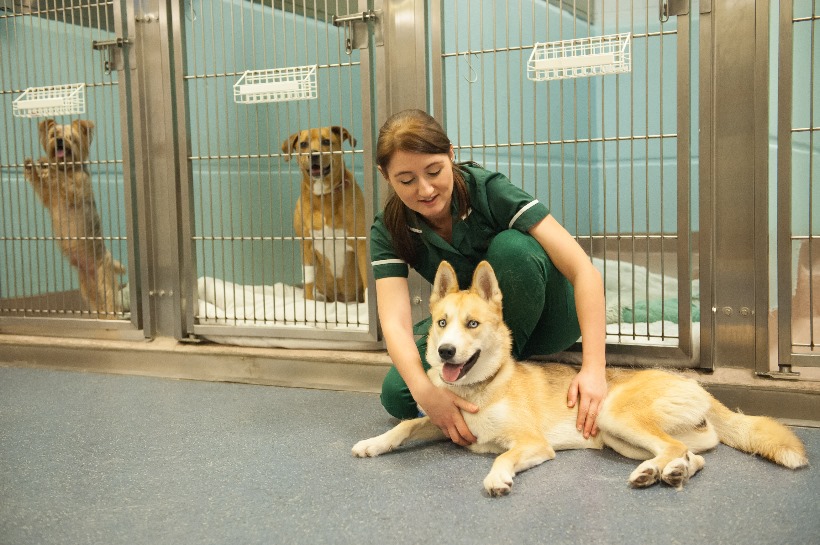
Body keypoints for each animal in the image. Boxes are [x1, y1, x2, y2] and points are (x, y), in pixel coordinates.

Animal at [23, 117, 126, 316]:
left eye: (71, 138)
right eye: (53, 135)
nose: (59, 142)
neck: (67, 168)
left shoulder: (75, 191)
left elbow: (64, 182)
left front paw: (47, 165)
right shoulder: (48, 197)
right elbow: (41, 183)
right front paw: (33, 167)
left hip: (104, 280)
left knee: (112, 302)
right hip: (87, 287)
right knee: (98, 304)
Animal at [352, 262, 808, 496]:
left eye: (473, 324)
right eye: (443, 323)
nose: (446, 351)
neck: (481, 389)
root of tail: (696, 385)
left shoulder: (532, 443)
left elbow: (501, 456)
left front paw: (497, 476)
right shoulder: (444, 419)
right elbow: (406, 425)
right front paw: (374, 443)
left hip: (613, 416)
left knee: (675, 448)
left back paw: (658, 472)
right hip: (621, 439)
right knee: (690, 455)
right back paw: (668, 473)